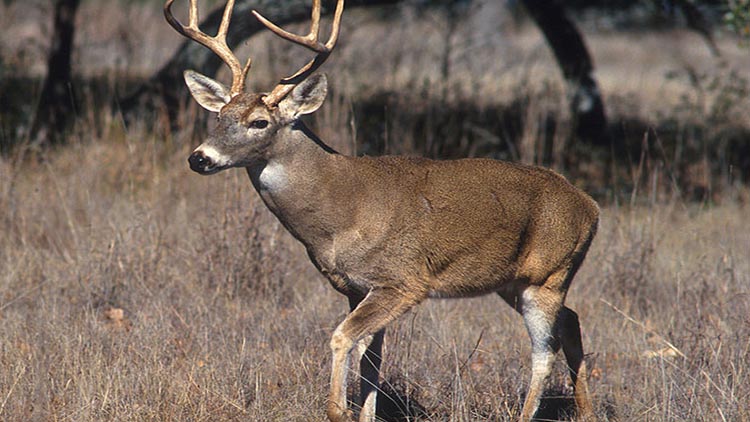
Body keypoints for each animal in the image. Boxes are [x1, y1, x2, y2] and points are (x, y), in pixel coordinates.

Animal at [164, 0, 599, 420]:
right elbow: (370, 357)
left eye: (258, 122)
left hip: (549, 275)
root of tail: (590, 206)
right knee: (572, 321)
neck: (340, 212)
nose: (199, 158)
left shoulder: (402, 280)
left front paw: (338, 410)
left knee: (544, 351)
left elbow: (342, 338)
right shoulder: (355, 288)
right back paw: (587, 413)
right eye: (219, 117)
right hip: (513, 281)